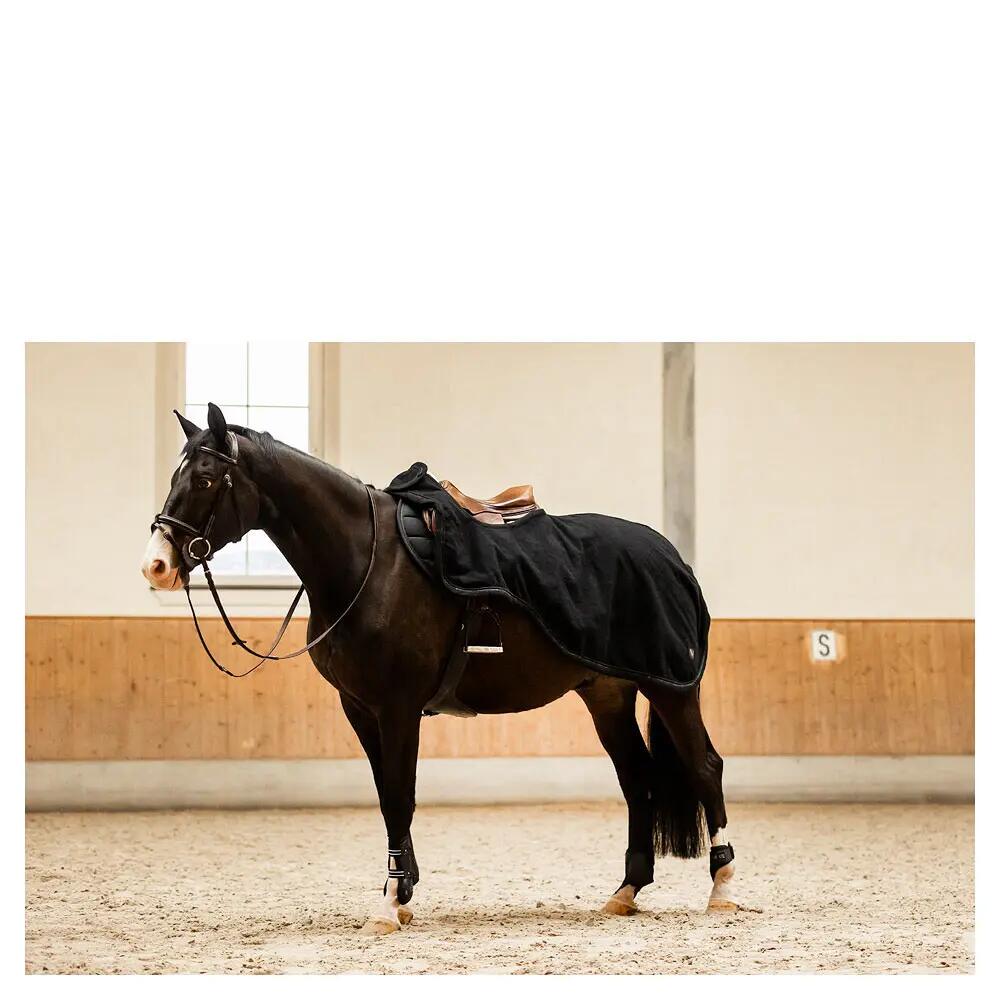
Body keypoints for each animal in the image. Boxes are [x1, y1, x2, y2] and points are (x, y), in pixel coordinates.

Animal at [141, 403, 739, 934]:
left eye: (207, 478)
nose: (157, 565)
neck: (367, 562)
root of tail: (673, 557)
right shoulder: (361, 709)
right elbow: (387, 796)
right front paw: (401, 893)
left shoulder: (399, 707)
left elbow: (399, 795)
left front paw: (389, 904)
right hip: (607, 693)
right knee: (637, 778)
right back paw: (626, 892)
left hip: (670, 689)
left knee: (705, 766)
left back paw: (723, 888)